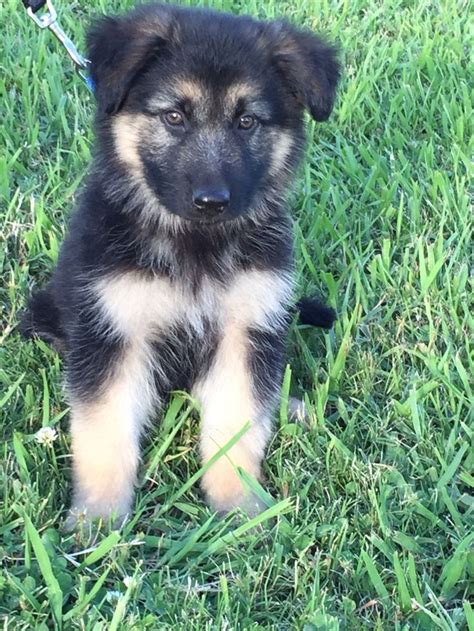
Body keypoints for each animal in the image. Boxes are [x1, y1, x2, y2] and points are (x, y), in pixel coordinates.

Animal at [22, 2, 338, 524]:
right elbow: (105, 431)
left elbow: (238, 424)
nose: (211, 201)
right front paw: (98, 521)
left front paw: (239, 509)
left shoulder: (245, 331)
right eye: (174, 116)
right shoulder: (113, 334)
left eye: (247, 122)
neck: (194, 243)